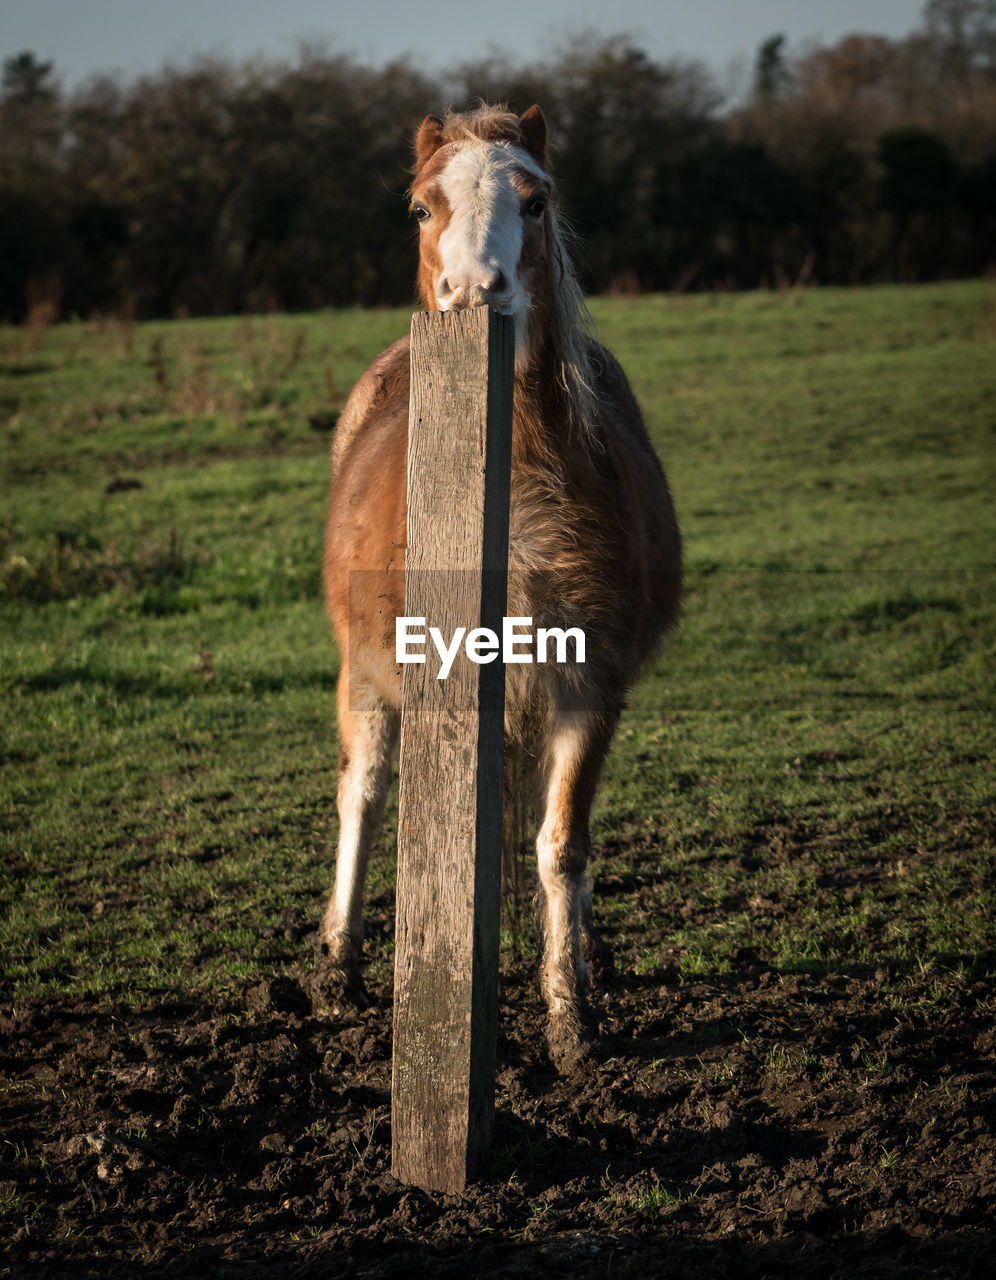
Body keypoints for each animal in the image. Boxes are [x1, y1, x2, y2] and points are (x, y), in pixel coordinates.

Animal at [314, 104, 681, 1070]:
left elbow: (563, 847)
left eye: (537, 199)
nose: (474, 293)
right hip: (364, 677)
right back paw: (338, 964)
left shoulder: (590, 690)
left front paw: (570, 1016)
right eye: (419, 206)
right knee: (363, 795)